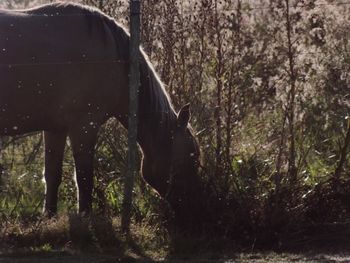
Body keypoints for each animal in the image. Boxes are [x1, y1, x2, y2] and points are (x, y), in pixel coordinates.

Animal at [0, 2, 201, 221]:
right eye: (191, 158)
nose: (194, 209)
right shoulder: (84, 127)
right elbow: (84, 176)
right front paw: (85, 215)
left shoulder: (55, 128)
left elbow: (53, 173)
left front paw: (50, 215)